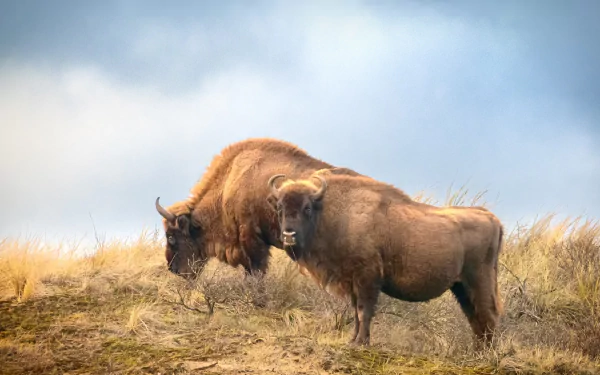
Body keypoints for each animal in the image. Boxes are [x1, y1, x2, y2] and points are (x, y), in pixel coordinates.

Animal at [268, 171, 506, 350]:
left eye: (306, 207)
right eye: (279, 207)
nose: (289, 236)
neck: (333, 213)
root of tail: (492, 218)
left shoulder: (367, 278)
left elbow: (363, 310)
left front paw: (361, 342)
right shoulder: (353, 282)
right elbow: (356, 312)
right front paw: (353, 340)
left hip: (478, 281)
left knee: (488, 314)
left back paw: (487, 355)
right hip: (461, 287)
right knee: (476, 317)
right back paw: (477, 352)